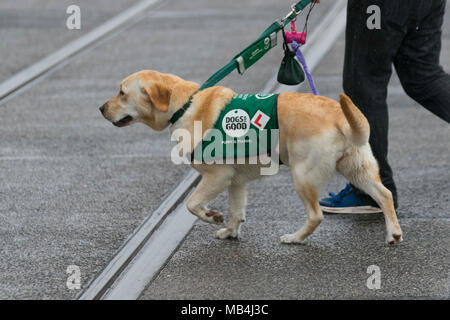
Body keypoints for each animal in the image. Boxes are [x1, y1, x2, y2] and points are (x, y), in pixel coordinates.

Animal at [100, 70, 402, 245]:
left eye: (122, 93)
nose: (100, 108)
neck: (184, 105)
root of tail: (338, 114)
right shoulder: (235, 181)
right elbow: (237, 210)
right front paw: (231, 231)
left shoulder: (216, 176)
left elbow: (191, 203)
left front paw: (211, 216)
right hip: (357, 168)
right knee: (385, 194)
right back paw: (393, 233)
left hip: (302, 176)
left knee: (316, 215)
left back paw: (295, 238)